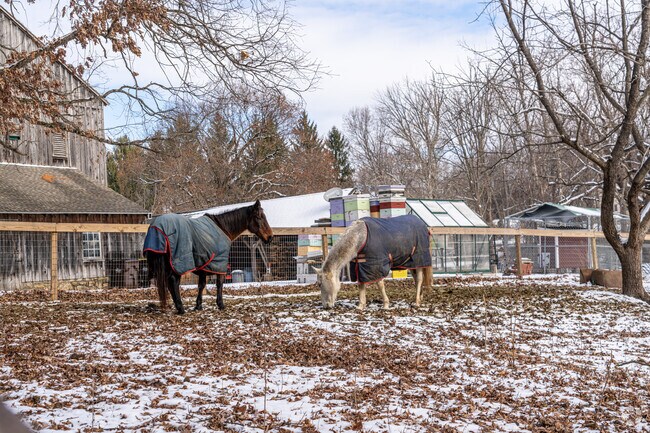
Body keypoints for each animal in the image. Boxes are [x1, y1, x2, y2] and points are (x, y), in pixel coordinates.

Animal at [143, 200, 273, 314]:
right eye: (259, 217)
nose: (270, 237)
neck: (223, 228)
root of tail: (158, 227)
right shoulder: (219, 265)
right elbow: (219, 284)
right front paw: (220, 304)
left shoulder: (204, 266)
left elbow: (201, 285)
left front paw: (198, 305)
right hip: (178, 264)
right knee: (174, 282)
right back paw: (181, 308)